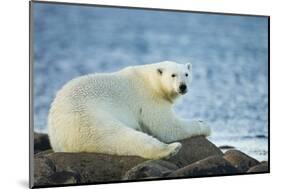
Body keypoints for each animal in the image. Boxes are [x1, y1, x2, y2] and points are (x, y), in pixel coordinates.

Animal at [48, 61, 210, 159]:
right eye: (173, 75)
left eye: (186, 74)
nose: (182, 87)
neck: (151, 81)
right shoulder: (149, 99)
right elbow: (167, 127)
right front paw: (205, 126)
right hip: (86, 117)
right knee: (118, 135)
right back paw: (171, 149)